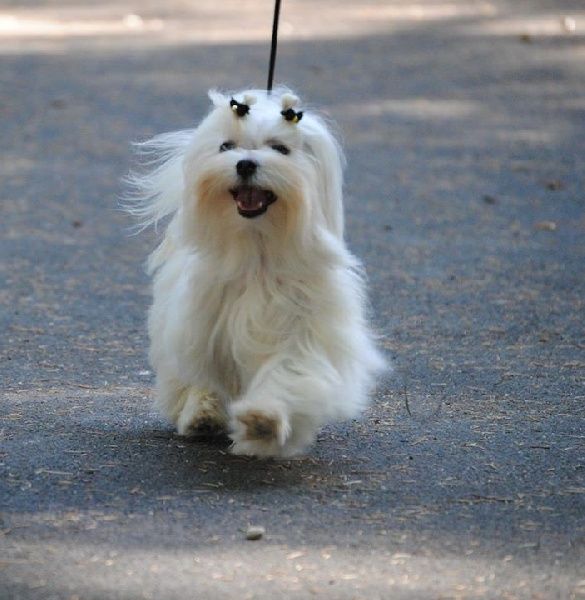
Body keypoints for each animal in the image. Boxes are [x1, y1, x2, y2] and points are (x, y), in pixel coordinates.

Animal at [128, 88, 384, 454]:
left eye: (280, 149)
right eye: (226, 146)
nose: (246, 163)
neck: (256, 249)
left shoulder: (301, 330)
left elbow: (287, 371)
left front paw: (263, 419)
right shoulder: (205, 329)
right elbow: (205, 375)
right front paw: (209, 411)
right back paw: (202, 416)